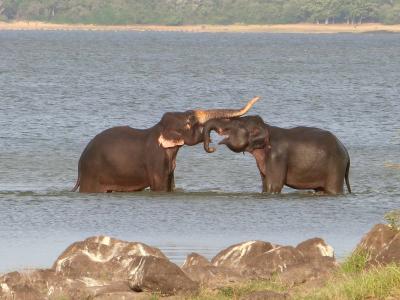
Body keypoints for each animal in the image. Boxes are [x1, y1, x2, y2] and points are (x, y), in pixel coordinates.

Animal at [71, 97, 260, 193]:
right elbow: (159, 187)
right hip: (92, 174)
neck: (159, 128)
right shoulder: (155, 159)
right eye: (191, 121)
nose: (213, 145)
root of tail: (79, 165)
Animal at [203, 115, 350, 195]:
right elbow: (265, 184)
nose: (211, 147)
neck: (267, 127)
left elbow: (274, 185)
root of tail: (346, 150)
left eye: (236, 123)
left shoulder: (276, 156)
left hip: (335, 168)